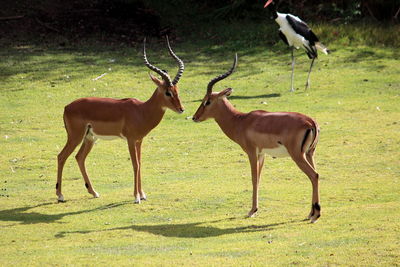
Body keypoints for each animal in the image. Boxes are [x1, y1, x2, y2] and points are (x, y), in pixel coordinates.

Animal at [55, 35, 184, 203]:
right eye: (167, 92)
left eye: (177, 90)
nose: (181, 109)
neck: (142, 110)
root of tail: (66, 107)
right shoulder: (130, 140)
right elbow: (135, 165)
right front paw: (136, 197)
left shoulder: (139, 140)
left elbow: (140, 163)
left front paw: (142, 194)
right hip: (75, 137)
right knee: (61, 156)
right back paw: (60, 195)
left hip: (90, 138)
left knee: (79, 157)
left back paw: (94, 192)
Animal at [192, 54, 320, 222]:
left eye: (207, 101)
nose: (194, 117)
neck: (241, 121)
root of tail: (311, 122)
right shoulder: (262, 154)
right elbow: (259, 178)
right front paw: (255, 209)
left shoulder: (251, 152)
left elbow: (253, 178)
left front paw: (252, 210)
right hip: (310, 153)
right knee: (316, 175)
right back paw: (311, 213)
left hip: (298, 156)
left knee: (314, 175)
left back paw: (315, 215)